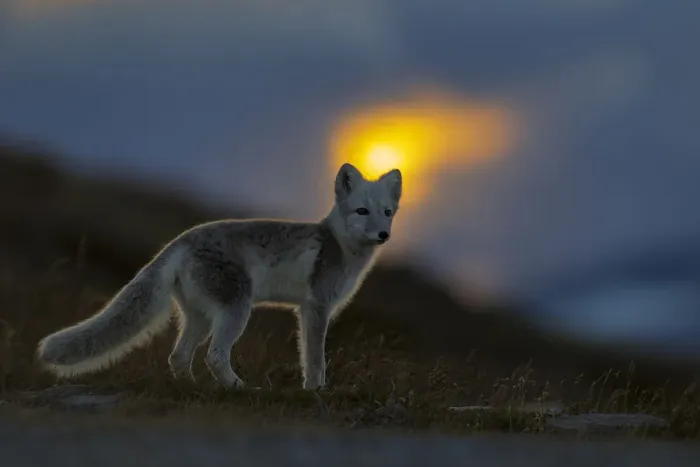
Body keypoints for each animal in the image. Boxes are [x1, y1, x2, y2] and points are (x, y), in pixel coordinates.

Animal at [36, 163, 402, 390]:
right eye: (361, 211)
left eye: (387, 212)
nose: (384, 235)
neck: (340, 245)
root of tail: (180, 241)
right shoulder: (315, 308)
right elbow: (315, 359)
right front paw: (315, 391)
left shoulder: (313, 309)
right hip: (236, 309)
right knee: (213, 356)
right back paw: (240, 389)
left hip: (199, 317)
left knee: (178, 356)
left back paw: (191, 389)